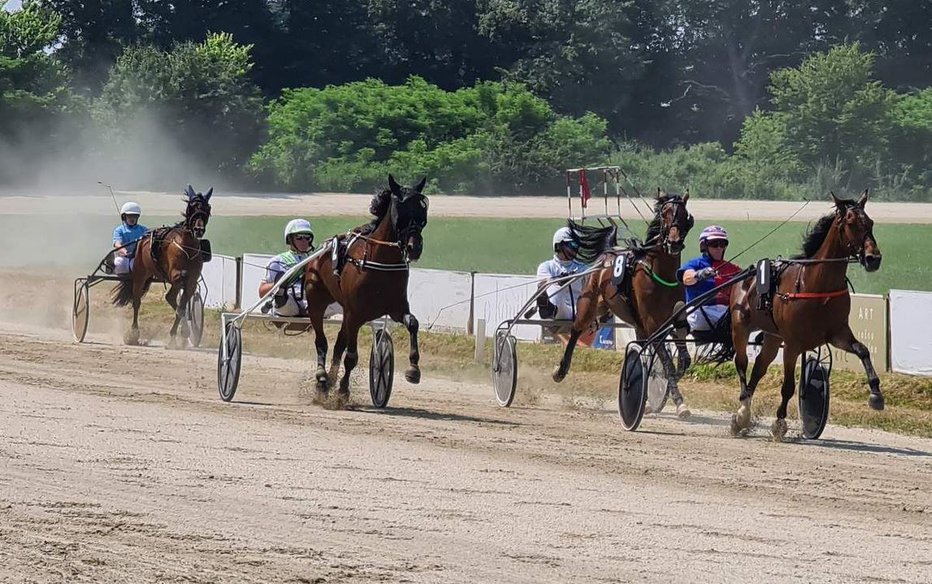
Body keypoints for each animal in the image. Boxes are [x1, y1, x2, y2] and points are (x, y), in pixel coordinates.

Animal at [110, 186, 211, 346]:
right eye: (191, 207)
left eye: (208, 208)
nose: (198, 230)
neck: (186, 247)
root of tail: (143, 239)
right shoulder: (174, 275)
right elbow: (181, 284)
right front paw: (174, 338)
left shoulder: (191, 282)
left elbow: (182, 306)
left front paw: (180, 334)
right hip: (140, 276)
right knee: (137, 302)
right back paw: (133, 334)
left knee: (171, 298)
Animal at [304, 175, 428, 396]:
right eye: (401, 211)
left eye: (422, 212)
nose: (415, 248)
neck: (381, 263)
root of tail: (318, 253)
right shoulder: (356, 315)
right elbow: (351, 357)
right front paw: (343, 390)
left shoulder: (396, 308)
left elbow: (413, 323)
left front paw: (413, 369)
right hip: (316, 300)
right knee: (321, 341)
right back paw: (322, 377)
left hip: (344, 311)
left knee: (338, 344)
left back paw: (330, 379)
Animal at [548, 190, 696, 416]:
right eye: (664, 214)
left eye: (685, 215)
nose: (674, 242)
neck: (661, 274)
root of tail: (609, 251)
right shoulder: (652, 325)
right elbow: (667, 363)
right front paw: (680, 402)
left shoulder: (671, 319)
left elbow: (683, 360)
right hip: (589, 303)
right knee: (575, 330)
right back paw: (561, 370)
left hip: (617, 314)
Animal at [732, 189, 884, 440]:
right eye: (851, 223)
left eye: (870, 222)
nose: (874, 258)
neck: (817, 285)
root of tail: (747, 273)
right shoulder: (793, 343)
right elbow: (788, 387)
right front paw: (779, 423)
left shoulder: (837, 333)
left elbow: (863, 350)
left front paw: (876, 395)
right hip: (740, 327)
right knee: (742, 363)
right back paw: (742, 412)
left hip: (773, 337)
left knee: (759, 368)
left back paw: (744, 416)